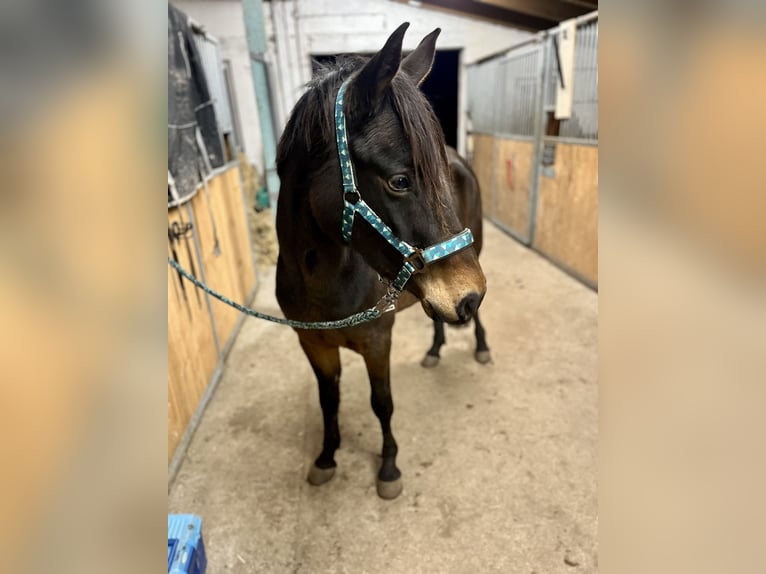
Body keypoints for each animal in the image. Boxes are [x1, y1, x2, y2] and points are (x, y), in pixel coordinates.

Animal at [276, 23, 488, 500]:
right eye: (400, 181)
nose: (467, 295)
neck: (323, 280)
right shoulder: (311, 343)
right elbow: (329, 401)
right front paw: (326, 457)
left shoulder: (378, 340)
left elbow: (382, 403)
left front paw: (389, 466)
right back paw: (435, 349)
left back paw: (481, 346)